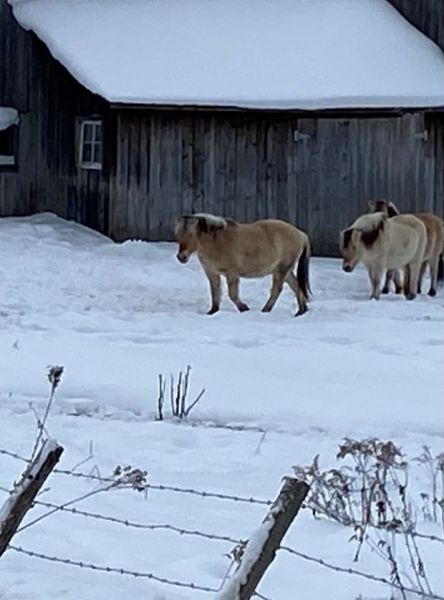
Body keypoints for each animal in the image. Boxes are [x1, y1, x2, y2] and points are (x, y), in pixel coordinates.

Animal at [175, 213, 311, 316]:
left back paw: (265, 310)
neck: (217, 241)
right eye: (178, 234)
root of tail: (301, 234)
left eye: (192, 235)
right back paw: (301, 311)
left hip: (282, 269)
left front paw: (244, 308)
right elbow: (215, 293)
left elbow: (232, 295)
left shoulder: (232, 274)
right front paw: (212, 312)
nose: (181, 257)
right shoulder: (212, 274)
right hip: (284, 270)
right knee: (296, 286)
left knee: (277, 289)